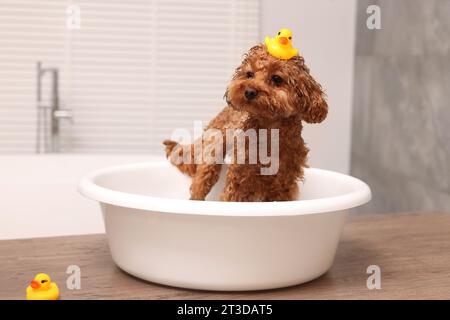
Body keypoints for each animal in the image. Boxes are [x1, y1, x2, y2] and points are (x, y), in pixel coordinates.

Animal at [163, 43, 328, 201]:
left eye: (276, 78)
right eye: (249, 74)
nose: (249, 91)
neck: (269, 131)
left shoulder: (282, 186)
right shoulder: (239, 181)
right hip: (212, 155)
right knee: (200, 185)